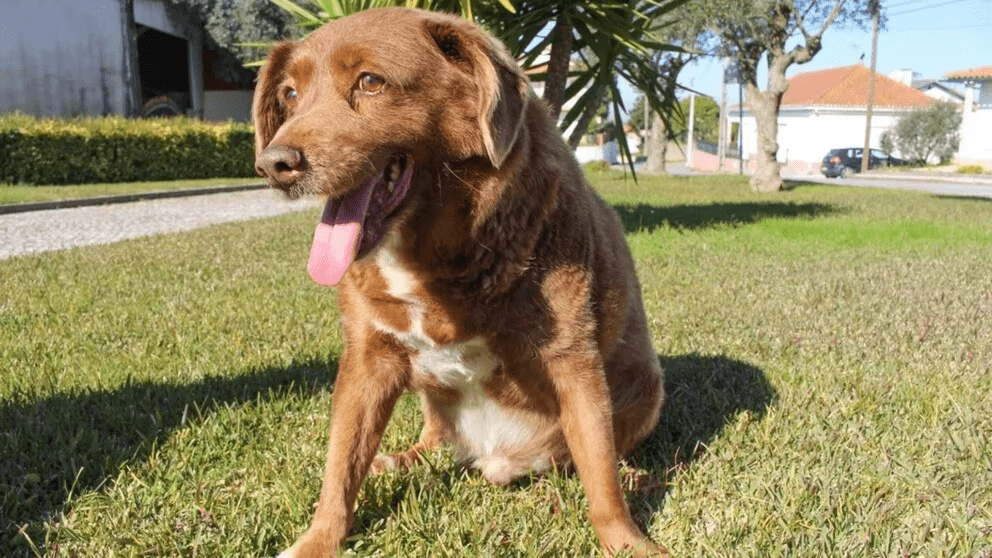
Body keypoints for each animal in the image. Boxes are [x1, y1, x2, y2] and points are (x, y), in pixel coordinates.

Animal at [252, 8, 668, 558]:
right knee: (429, 443)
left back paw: (633, 474)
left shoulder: (574, 361)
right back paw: (396, 459)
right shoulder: (367, 359)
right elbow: (339, 467)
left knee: (600, 454)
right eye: (290, 94)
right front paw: (319, 540)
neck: (433, 259)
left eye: (370, 81)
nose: (274, 164)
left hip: (647, 387)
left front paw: (628, 541)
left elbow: (600, 475)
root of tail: (497, 457)